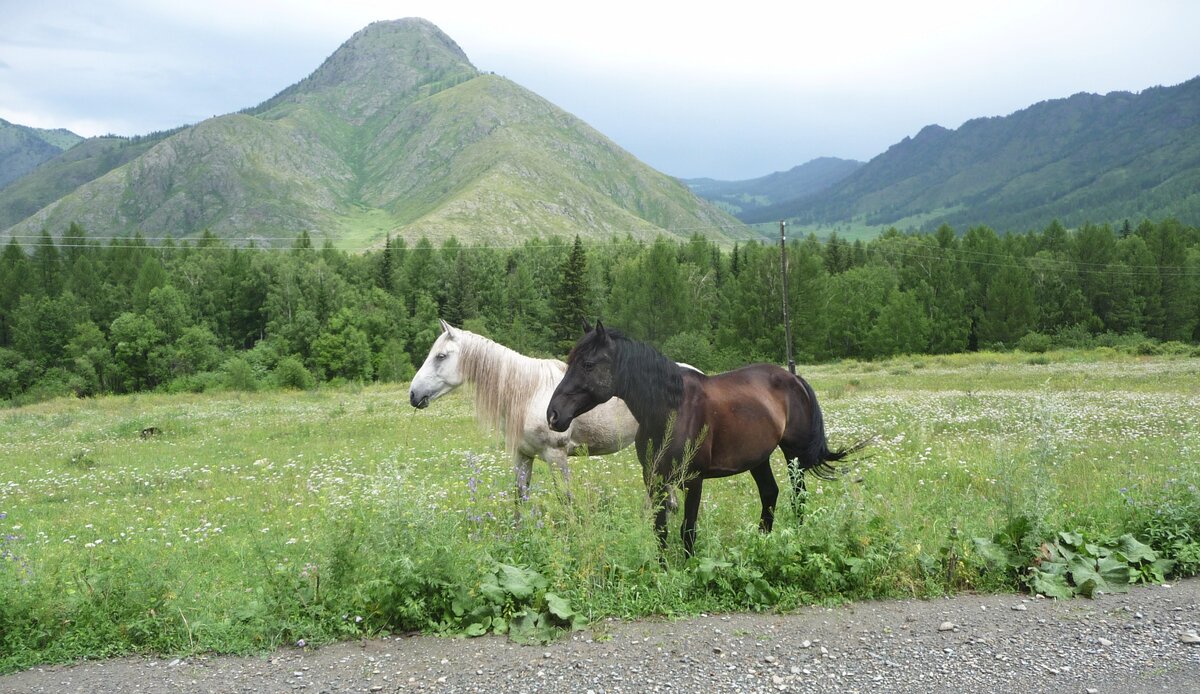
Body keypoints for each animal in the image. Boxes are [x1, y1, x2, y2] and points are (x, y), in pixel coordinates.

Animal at [408, 316, 648, 499]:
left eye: (440, 356)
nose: (413, 394)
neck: (530, 394)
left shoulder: (556, 456)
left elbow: (566, 500)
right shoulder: (522, 455)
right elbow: (520, 495)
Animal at [544, 319, 864, 557]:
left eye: (587, 364)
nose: (553, 414)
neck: (671, 409)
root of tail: (794, 379)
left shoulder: (693, 479)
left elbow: (688, 528)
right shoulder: (655, 479)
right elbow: (660, 528)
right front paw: (662, 570)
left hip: (792, 453)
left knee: (798, 495)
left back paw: (795, 537)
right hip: (758, 458)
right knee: (770, 493)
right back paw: (761, 542)